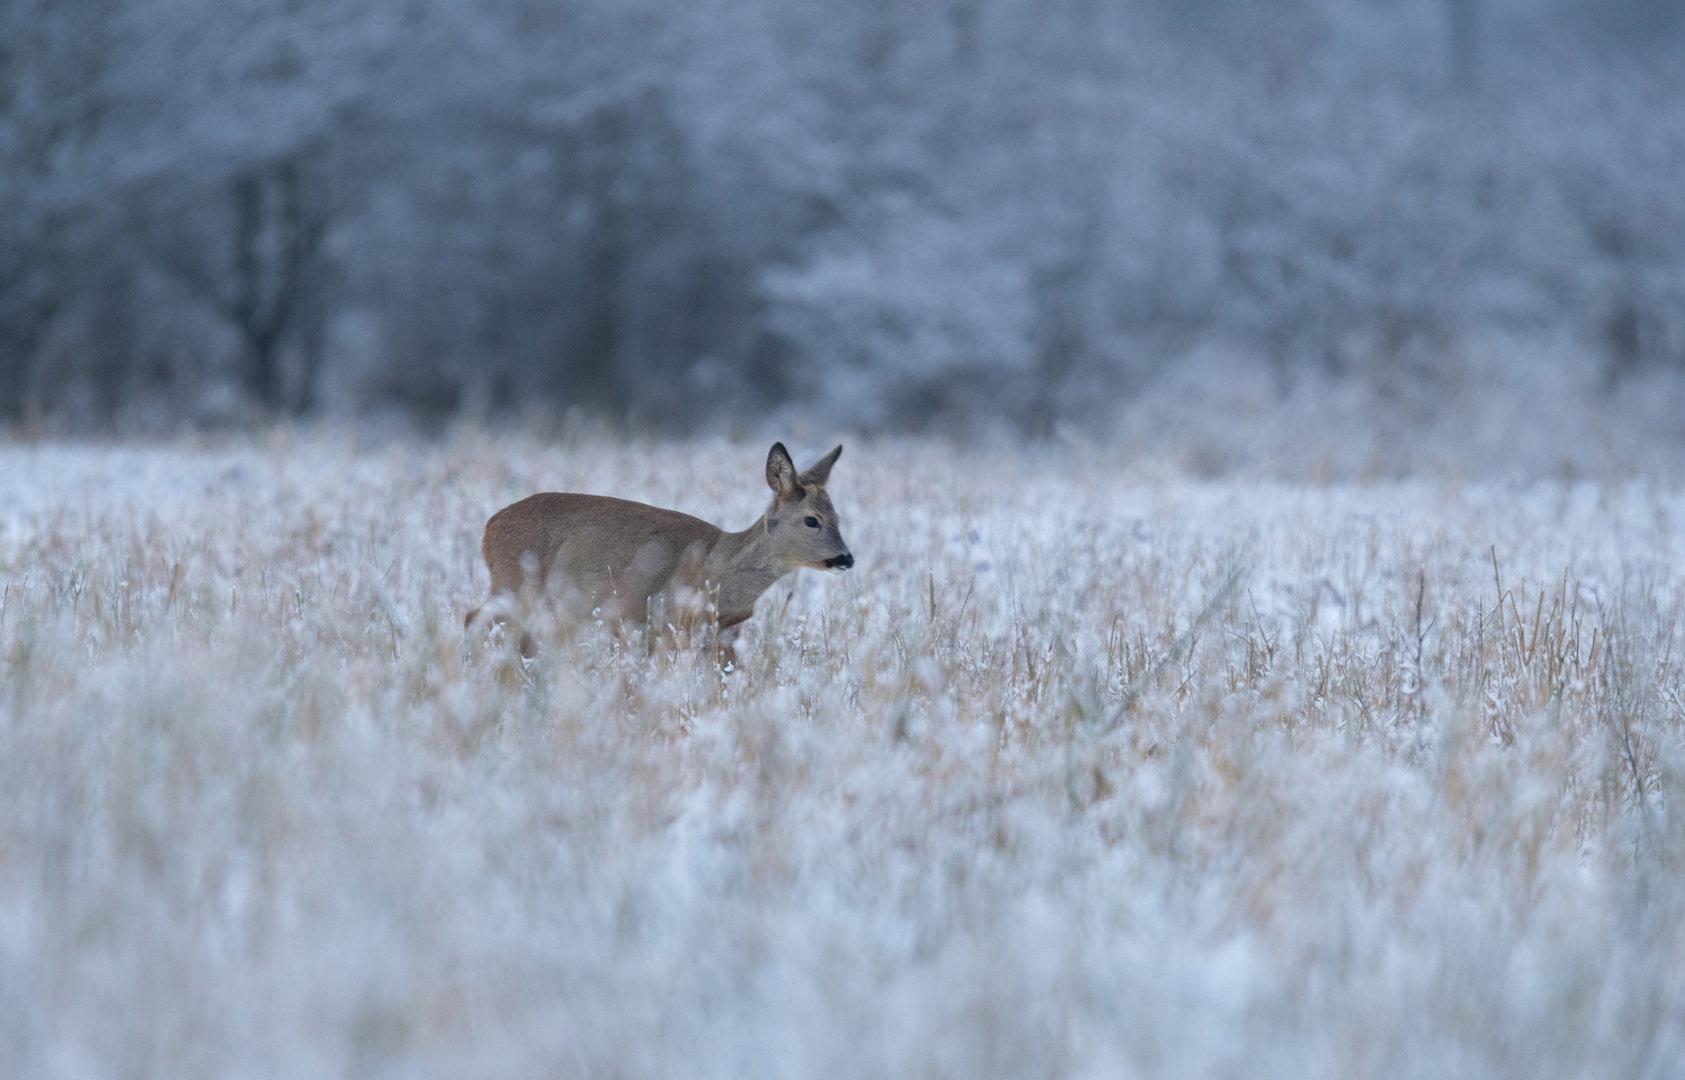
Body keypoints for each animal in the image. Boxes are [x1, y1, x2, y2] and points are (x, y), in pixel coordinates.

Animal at [465, 441, 849, 660]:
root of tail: (487, 528)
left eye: (838, 516)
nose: (847, 558)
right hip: (514, 583)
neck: (718, 569)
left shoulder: (722, 635)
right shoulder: (649, 619)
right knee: (474, 618)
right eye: (811, 520)